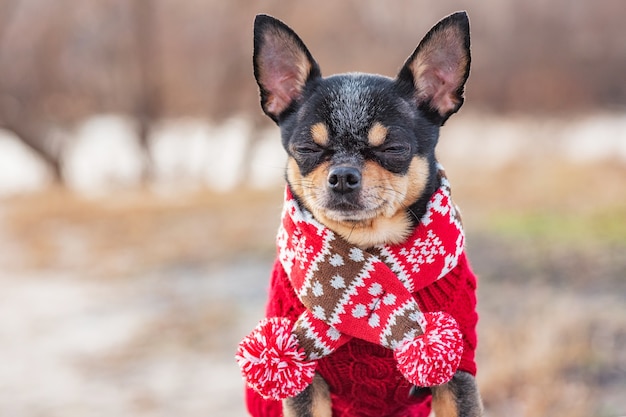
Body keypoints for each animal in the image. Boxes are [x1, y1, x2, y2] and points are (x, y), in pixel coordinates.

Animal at [249, 11, 482, 414]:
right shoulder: (305, 382)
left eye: (393, 148)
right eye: (307, 148)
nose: (343, 175)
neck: (366, 244)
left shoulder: (456, 371)